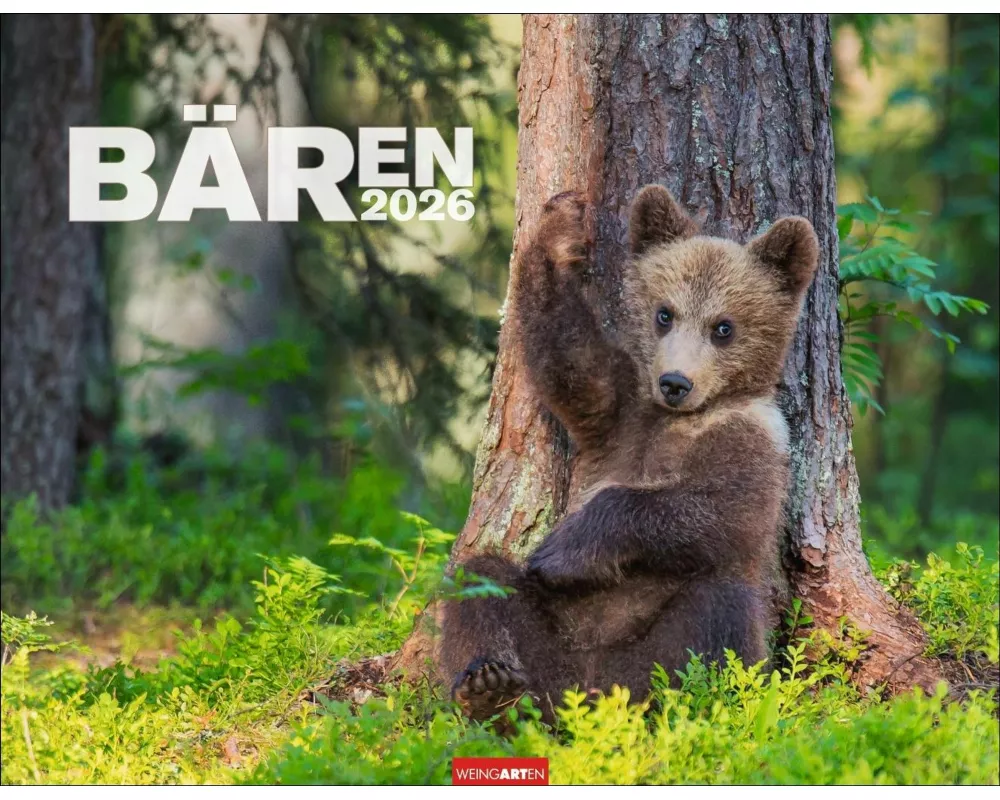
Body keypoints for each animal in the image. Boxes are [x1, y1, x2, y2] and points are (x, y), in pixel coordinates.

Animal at [438, 185, 819, 724]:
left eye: (723, 327)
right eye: (665, 313)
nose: (675, 382)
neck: (678, 419)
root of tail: (592, 693)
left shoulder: (756, 441)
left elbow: (723, 508)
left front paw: (565, 549)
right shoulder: (621, 413)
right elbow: (572, 364)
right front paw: (560, 228)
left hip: (658, 650)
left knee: (719, 606)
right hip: (552, 647)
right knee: (480, 582)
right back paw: (488, 685)